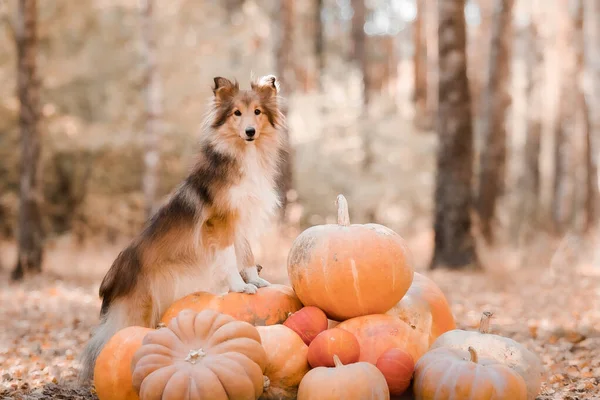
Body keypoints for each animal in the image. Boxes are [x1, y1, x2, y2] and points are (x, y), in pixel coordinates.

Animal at [79, 74, 286, 382]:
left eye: (257, 112)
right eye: (236, 113)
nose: (250, 131)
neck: (244, 153)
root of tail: (110, 279)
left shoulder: (241, 220)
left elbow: (246, 255)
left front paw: (256, 281)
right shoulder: (221, 222)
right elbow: (229, 257)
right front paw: (239, 287)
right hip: (140, 309)